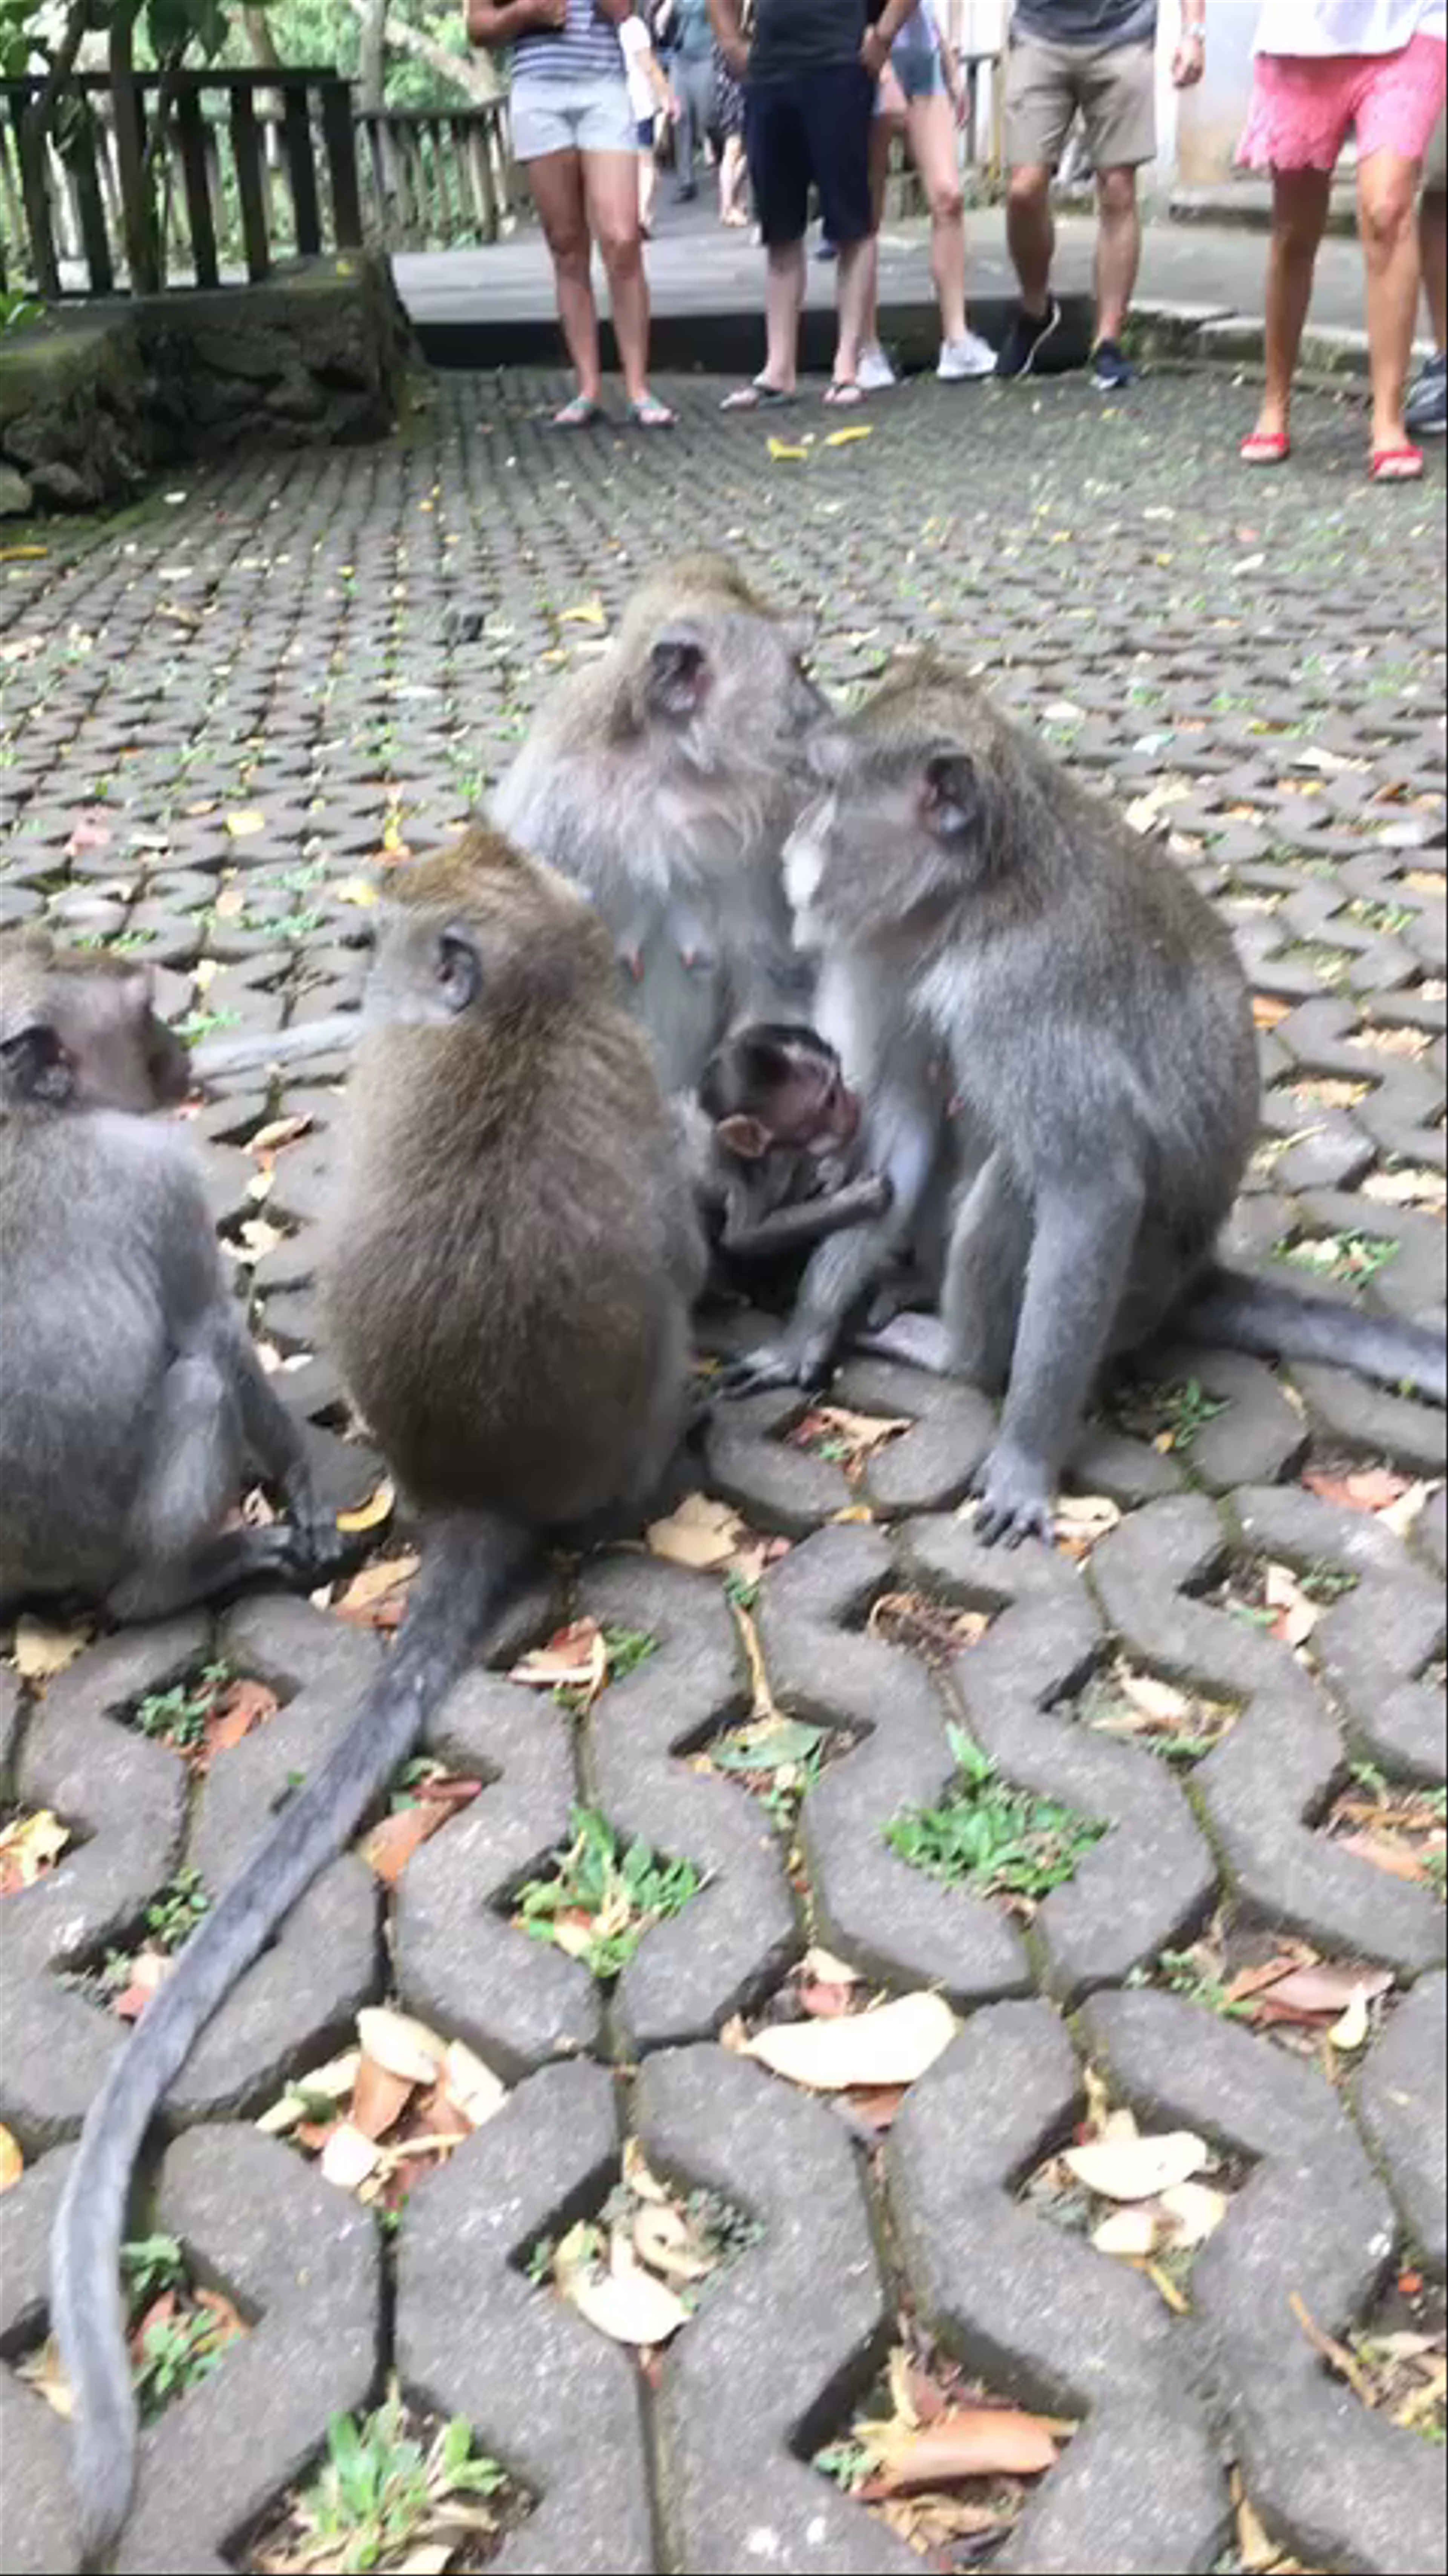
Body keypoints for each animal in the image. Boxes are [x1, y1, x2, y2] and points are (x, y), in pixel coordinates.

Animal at [0, 933, 335, 1621]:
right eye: (144, 1012)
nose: (179, 1043)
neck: (26, 1114)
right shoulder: (161, 1171)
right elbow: (210, 1330)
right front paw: (300, 1473)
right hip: (110, 1538)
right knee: (202, 1385)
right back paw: (168, 1584)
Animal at [725, 657, 1446, 1545]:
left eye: (828, 789)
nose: (795, 841)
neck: (979, 896)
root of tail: (1191, 1277)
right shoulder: (897, 952)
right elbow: (902, 1138)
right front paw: (807, 1331)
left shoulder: (1023, 994)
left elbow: (1091, 1190)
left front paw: (1026, 1458)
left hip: (1136, 1287)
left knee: (1019, 1176)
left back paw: (959, 1354)